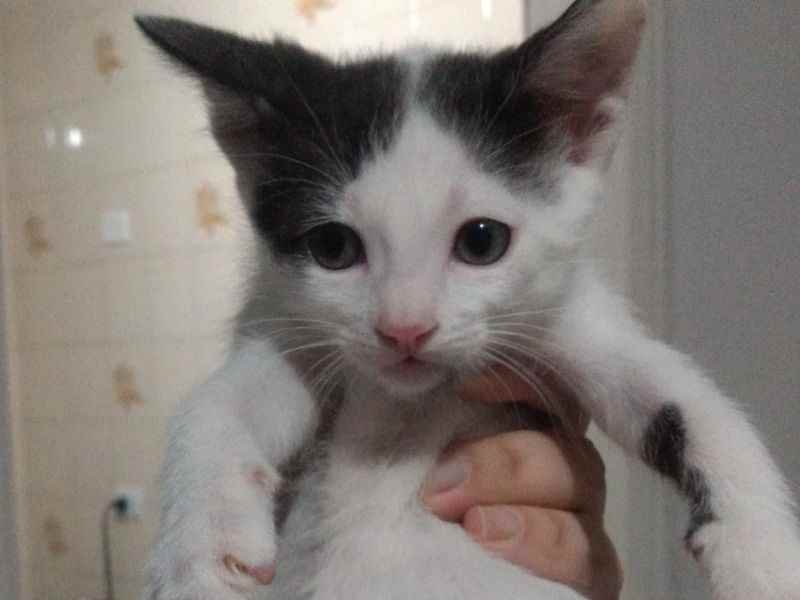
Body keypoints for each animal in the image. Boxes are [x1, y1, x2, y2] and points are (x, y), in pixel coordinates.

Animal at [136, 1, 800, 598]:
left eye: (482, 241)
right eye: (332, 247)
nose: (404, 329)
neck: (407, 401)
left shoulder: (568, 318)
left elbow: (689, 403)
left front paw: (763, 559)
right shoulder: (292, 324)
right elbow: (215, 404)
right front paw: (197, 554)